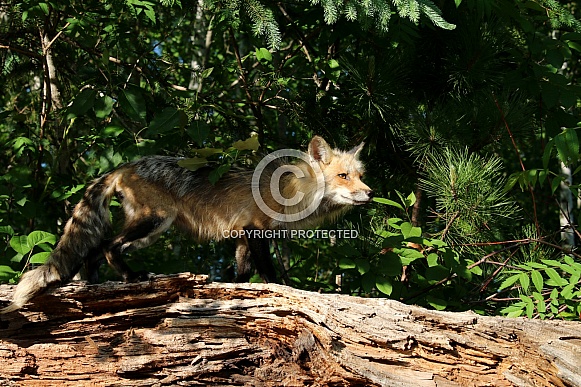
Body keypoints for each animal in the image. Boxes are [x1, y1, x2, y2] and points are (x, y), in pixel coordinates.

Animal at [1, 136, 372, 312]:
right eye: (343, 176)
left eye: (360, 175)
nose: (370, 194)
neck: (292, 190)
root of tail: (125, 165)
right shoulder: (255, 229)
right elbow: (268, 273)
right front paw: (286, 290)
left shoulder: (242, 237)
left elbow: (242, 275)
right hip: (154, 222)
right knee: (107, 246)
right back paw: (131, 277)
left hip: (148, 230)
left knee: (92, 253)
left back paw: (93, 286)